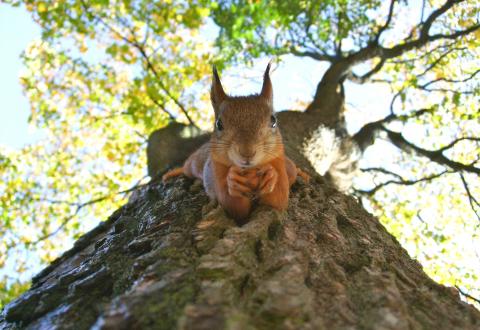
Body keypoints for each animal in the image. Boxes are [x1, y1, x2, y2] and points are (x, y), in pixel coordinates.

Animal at [163, 63, 310, 220]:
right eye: (218, 124)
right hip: (195, 164)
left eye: (273, 120)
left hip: (289, 166)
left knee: (293, 169)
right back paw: (172, 173)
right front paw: (233, 181)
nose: (247, 153)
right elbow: (233, 206)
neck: (250, 172)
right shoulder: (217, 169)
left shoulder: (278, 163)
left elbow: (278, 200)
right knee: (187, 167)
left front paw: (271, 175)